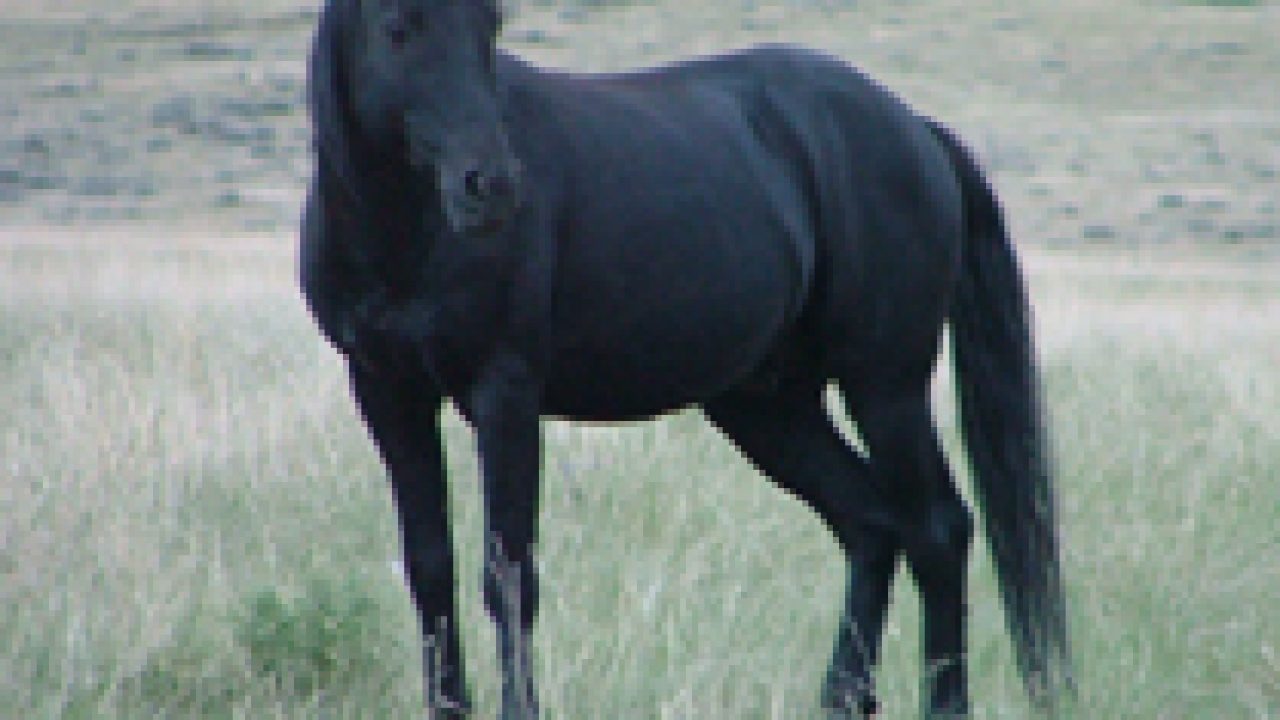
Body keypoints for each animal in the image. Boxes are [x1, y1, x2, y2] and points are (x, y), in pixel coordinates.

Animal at [299, 0, 1073, 717]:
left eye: (491, 22)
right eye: (398, 27)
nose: (491, 186)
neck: (406, 236)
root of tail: (915, 128)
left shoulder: (506, 392)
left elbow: (508, 573)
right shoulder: (387, 393)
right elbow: (430, 569)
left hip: (886, 387)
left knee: (938, 528)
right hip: (768, 408)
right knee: (872, 525)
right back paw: (840, 700)